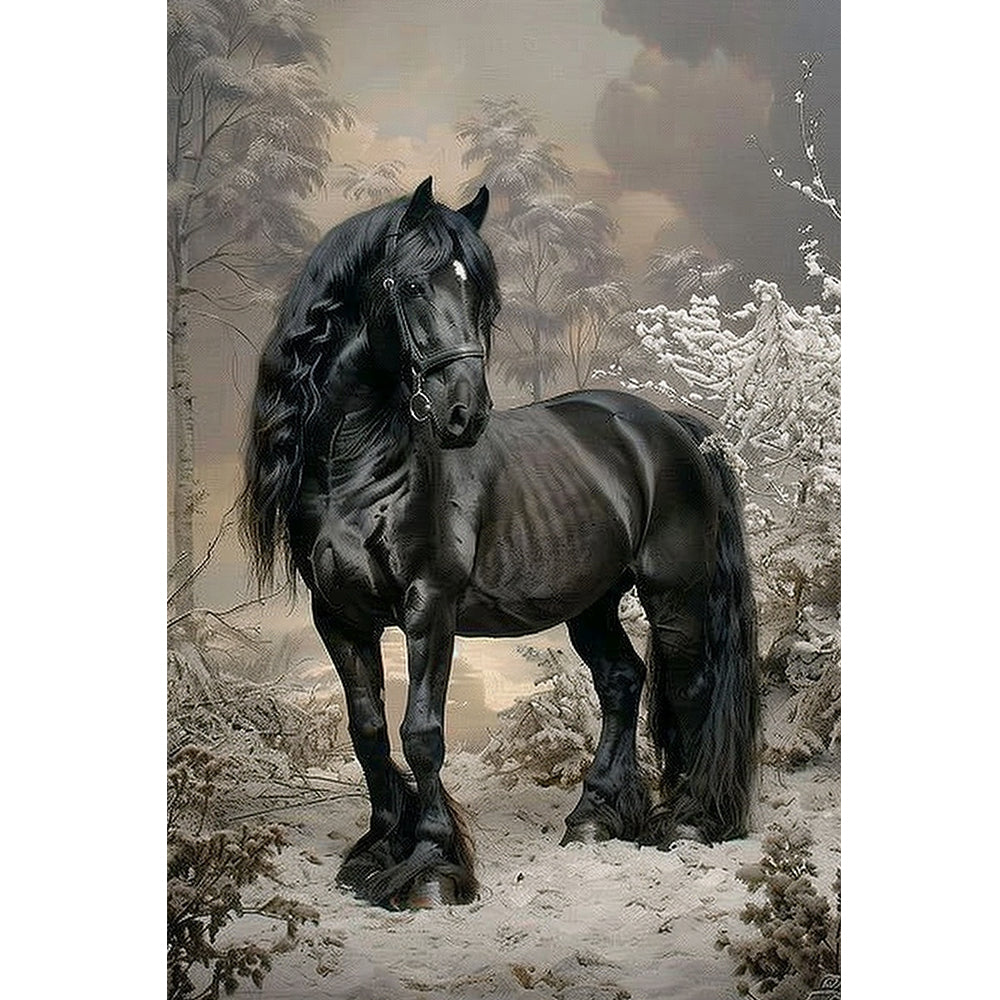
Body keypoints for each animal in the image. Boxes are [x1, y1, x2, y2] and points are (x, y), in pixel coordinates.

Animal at [239, 177, 759, 909]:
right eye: (412, 284)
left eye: (481, 295)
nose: (465, 414)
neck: (355, 466)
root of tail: (669, 425)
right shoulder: (338, 616)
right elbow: (368, 731)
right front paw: (377, 851)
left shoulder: (429, 607)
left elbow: (422, 734)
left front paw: (432, 865)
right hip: (594, 601)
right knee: (622, 681)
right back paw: (595, 816)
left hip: (673, 591)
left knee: (691, 687)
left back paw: (686, 819)